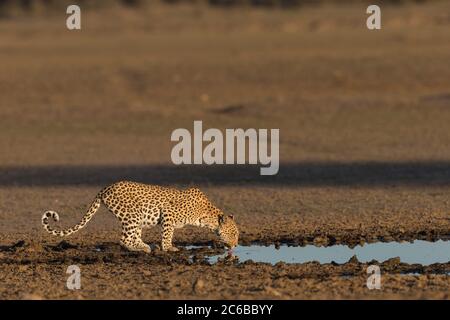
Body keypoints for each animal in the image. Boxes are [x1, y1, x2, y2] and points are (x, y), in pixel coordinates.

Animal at [41, 181, 239, 254]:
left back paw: (145, 245)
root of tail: (105, 188)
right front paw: (168, 248)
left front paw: (164, 247)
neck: (207, 217)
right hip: (132, 215)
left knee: (132, 236)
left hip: (137, 218)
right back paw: (143, 248)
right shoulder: (168, 214)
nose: (236, 245)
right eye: (234, 233)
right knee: (124, 239)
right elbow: (167, 234)